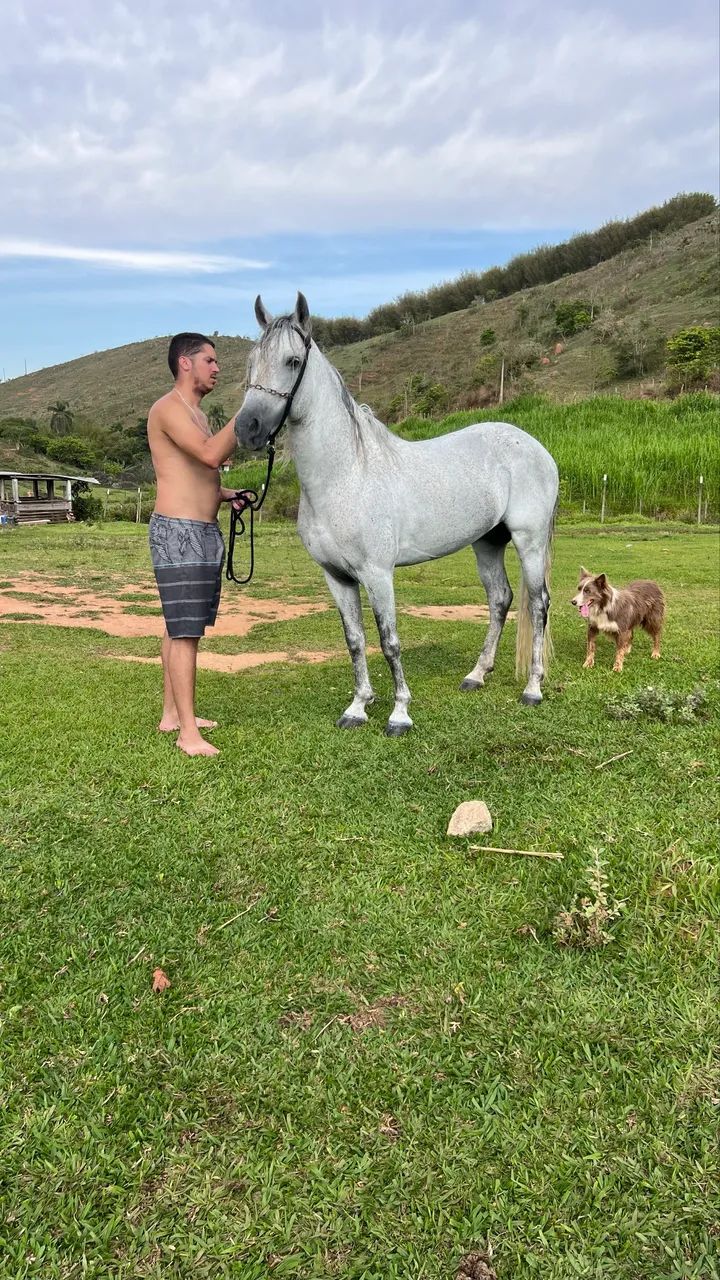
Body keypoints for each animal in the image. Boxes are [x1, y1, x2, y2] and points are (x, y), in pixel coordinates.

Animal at [234, 293, 559, 736]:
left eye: (292, 361)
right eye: (251, 362)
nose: (246, 429)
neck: (346, 474)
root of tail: (535, 447)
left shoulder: (377, 574)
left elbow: (389, 642)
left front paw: (399, 713)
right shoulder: (336, 577)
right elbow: (355, 641)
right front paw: (357, 707)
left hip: (530, 541)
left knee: (539, 604)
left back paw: (533, 688)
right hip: (487, 543)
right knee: (500, 600)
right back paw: (476, 675)